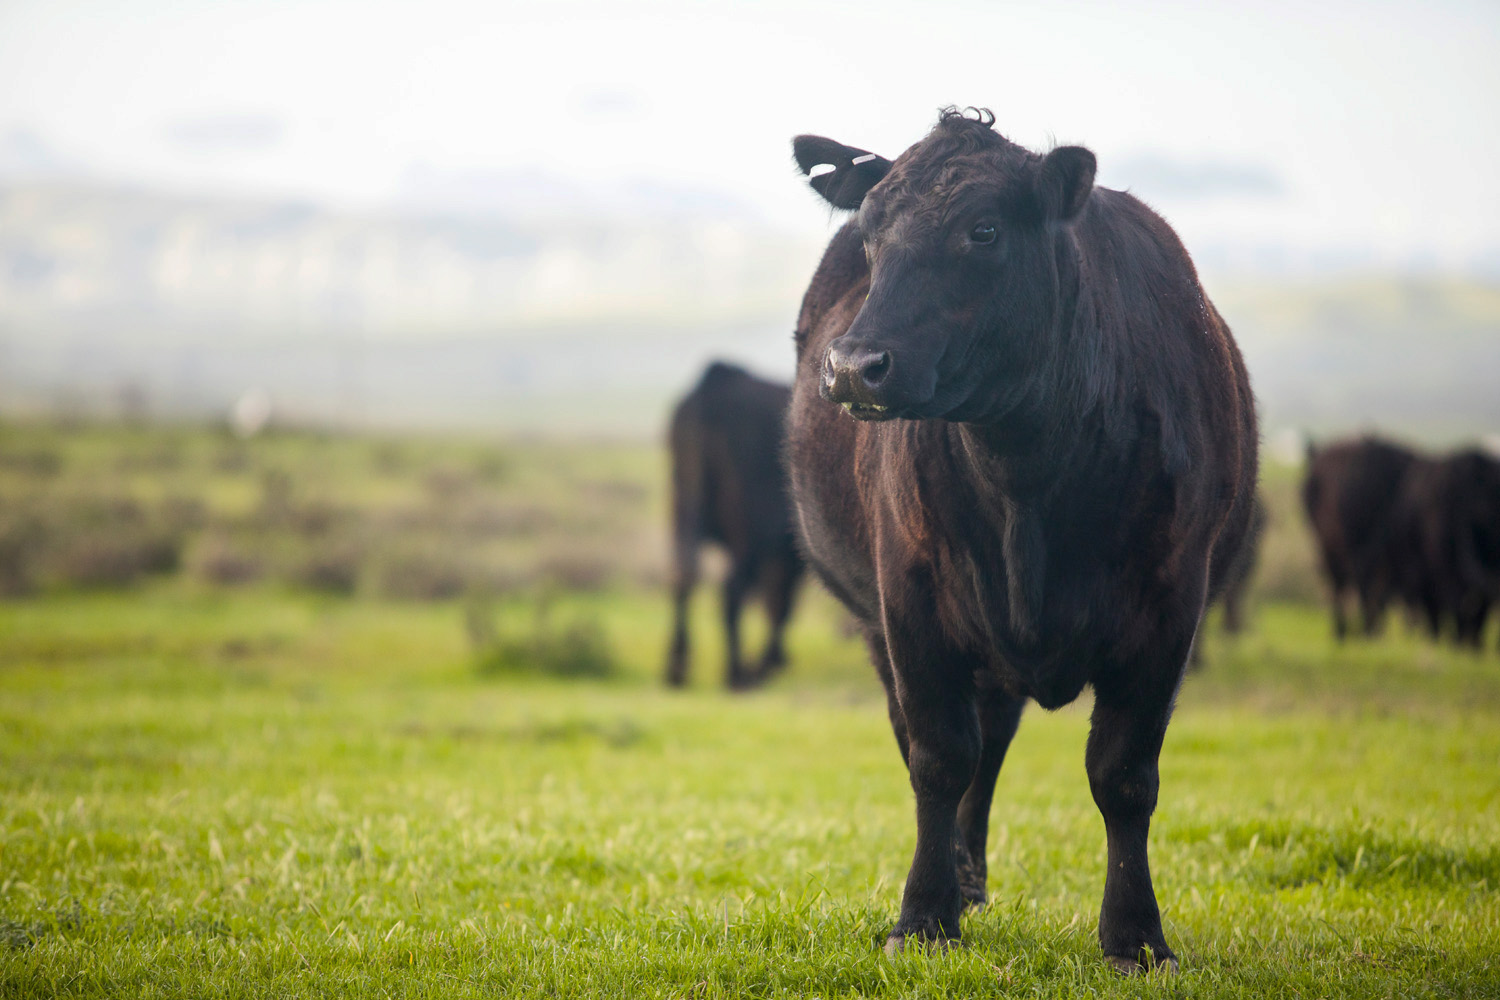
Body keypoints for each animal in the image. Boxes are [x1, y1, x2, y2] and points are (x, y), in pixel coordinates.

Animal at [665, 361, 805, 689]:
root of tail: (716, 383)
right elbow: (781, 603)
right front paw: (769, 661)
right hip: (749, 534)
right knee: (732, 589)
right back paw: (738, 672)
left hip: (681, 509)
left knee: (682, 575)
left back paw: (676, 669)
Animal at [785, 108, 1258, 972]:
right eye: (870, 232)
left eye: (984, 230)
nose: (856, 367)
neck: (1027, 474)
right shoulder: (908, 601)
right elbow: (939, 758)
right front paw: (922, 916)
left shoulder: (1173, 605)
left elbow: (1124, 775)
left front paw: (1136, 936)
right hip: (885, 625)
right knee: (953, 745)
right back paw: (959, 882)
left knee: (994, 739)